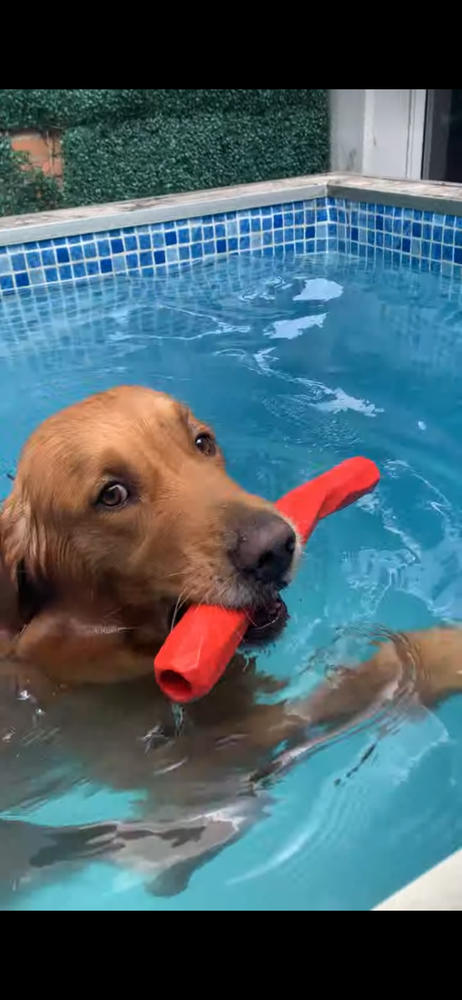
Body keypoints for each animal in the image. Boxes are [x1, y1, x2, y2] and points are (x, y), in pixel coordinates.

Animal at [0, 382, 462, 900]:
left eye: (202, 442)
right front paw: (444, 651)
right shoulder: (201, 770)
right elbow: (369, 677)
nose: (275, 546)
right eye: (112, 495)